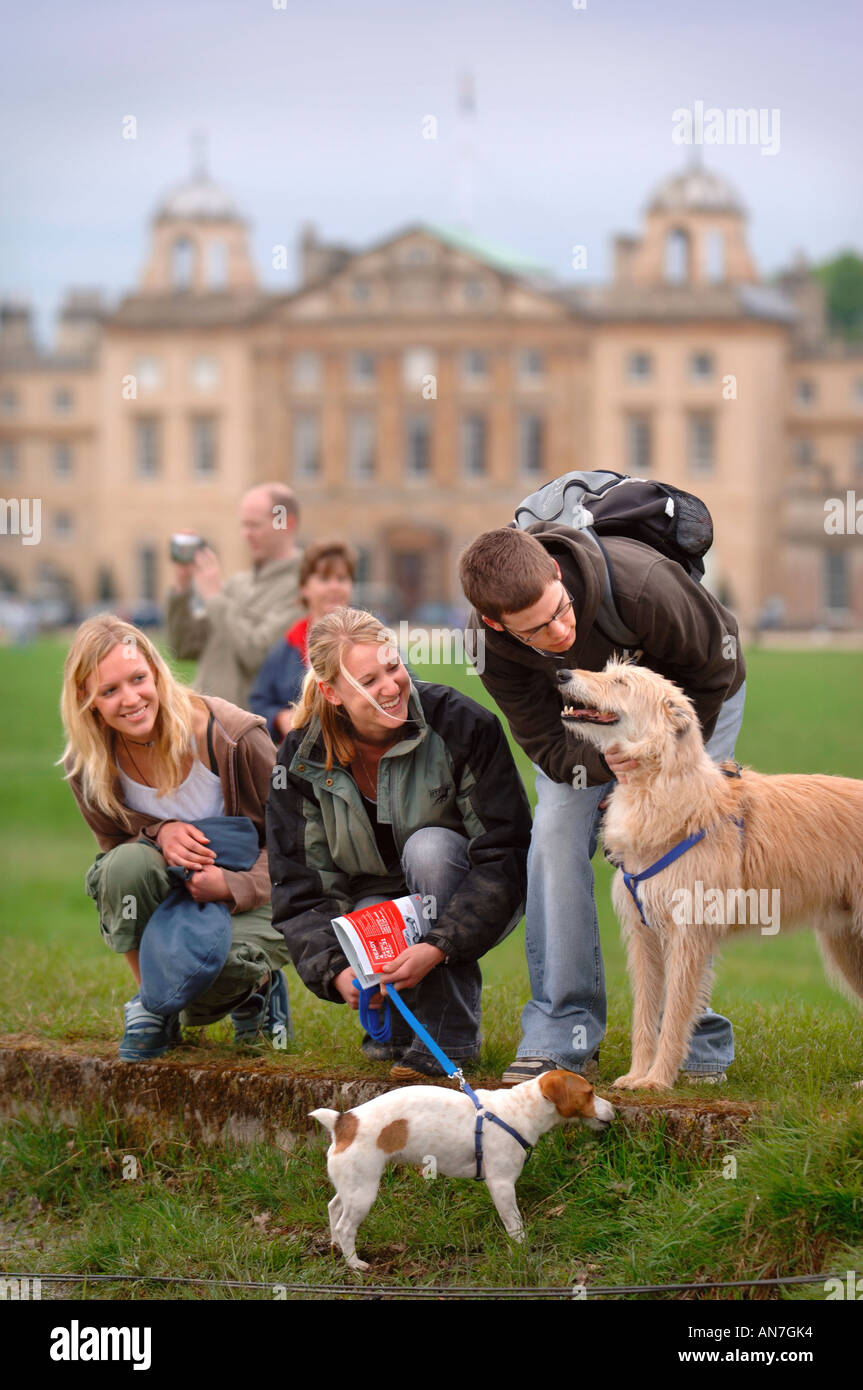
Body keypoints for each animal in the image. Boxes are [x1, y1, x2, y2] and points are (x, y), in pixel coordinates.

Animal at [555, 667, 861, 1089]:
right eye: (606, 670)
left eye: (621, 682)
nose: (562, 672)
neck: (661, 786)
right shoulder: (644, 934)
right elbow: (644, 1013)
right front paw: (636, 1075)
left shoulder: (690, 934)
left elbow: (676, 1013)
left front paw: (657, 1080)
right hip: (847, 944)